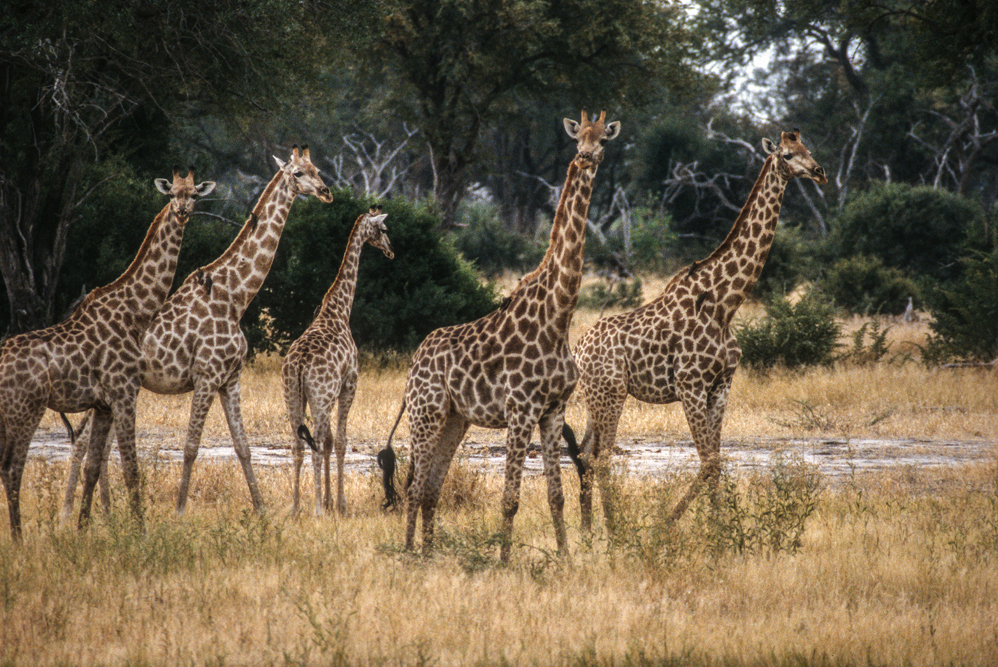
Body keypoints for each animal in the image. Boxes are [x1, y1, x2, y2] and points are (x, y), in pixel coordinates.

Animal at [1, 168, 215, 540]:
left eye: (194, 195)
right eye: (172, 193)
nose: (182, 211)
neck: (137, 311)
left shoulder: (103, 404)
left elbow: (92, 467)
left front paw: (83, 530)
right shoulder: (125, 392)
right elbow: (131, 468)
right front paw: (141, 533)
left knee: (7, 468)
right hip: (24, 410)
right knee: (14, 469)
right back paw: (18, 538)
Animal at [60, 146, 333, 518]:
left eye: (316, 168)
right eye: (297, 173)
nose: (325, 192)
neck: (236, 297)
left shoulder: (230, 380)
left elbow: (243, 446)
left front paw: (261, 510)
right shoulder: (206, 376)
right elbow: (191, 446)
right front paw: (179, 511)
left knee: (90, 442)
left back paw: (97, 511)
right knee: (83, 441)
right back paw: (70, 513)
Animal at [283, 206, 393, 516]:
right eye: (383, 230)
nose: (391, 251)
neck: (340, 311)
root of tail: (299, 365)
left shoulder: (328, 394)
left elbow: (332, 442)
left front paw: (331, 500)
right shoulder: (349, 385)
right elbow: (341, 441)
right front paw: (339, 504)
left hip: (293, 396)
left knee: (298, 444)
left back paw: (296, 507)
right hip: (320, 396)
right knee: (316, 442)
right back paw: (316, 509)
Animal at [380, 111, 621, 561]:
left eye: (604, 139)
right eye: (578, 137)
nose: (586, 156)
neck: (558, 317)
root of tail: (415, 360)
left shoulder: (553, 410)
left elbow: (556, 496)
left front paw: (564, 557)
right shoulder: (520, 409)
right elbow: (510, 498)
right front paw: (505, 560)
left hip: (455, 419)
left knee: (431, 487)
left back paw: (429, 552)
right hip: (426, 412)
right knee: (414, 486)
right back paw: (408, 552)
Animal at [570, 130, 826, 532]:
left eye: (808, 149)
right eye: (787, 155)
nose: (819, 172)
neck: (724, 305)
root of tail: (578, 350)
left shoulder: (721, 384)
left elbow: (715, 461)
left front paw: (720, 527)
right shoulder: (690, 385)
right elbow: (707, 460)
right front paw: (670, 525)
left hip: (598, 397)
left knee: (585, 454)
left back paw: (586, 529)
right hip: (610, 394)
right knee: (602, 458)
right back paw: (613, 532)